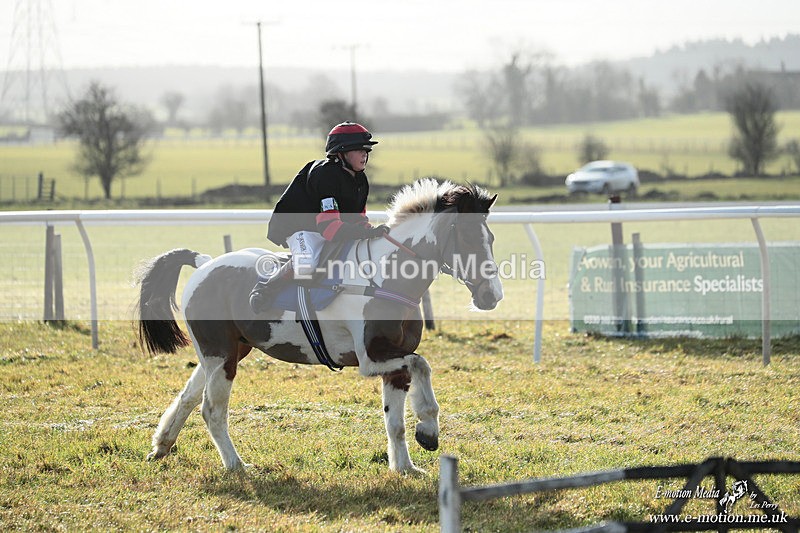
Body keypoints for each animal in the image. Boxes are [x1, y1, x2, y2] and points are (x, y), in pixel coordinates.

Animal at [135, 178, 503, 474]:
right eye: (468, 237)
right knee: (212, 409)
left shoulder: (393, 362)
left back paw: (162, 446)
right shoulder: (372, 360)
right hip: (221, 356)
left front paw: (405, 467)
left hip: (227, 351)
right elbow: (422, 365)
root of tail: (205, 263)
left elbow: (395, 421)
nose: (492, 296)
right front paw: (427, 428)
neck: (385, 276)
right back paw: (236, 465)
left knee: (188, 397)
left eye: (491, 238)